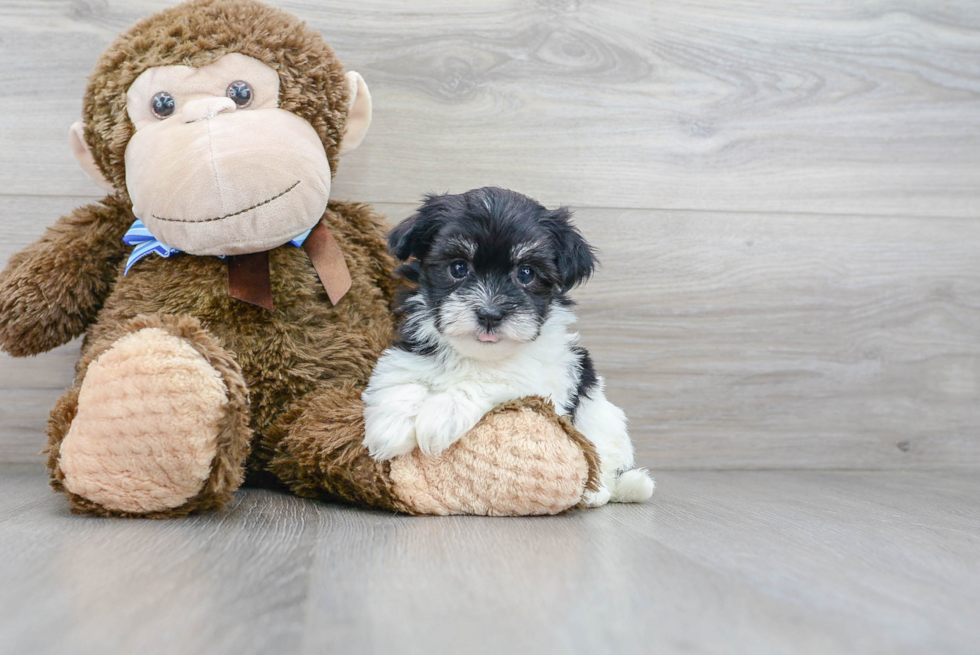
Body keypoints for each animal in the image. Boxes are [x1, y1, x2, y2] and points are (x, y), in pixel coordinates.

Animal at [360, 187, 652, 504]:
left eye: (525, 273)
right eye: (458, 268)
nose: (489, 315)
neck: (478, 354)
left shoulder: (543, 378)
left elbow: (491, 377)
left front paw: (441, 415)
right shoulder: (413, 346)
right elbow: (400, 372)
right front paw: (390, 426)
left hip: (605, 422)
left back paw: (599, 492)